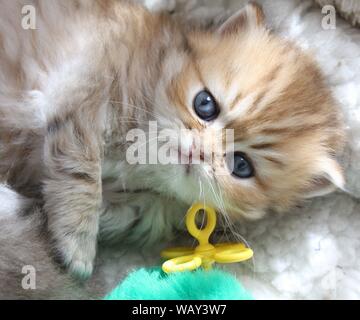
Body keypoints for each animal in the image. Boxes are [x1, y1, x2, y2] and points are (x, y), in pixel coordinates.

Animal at [0, 0, 344, 278]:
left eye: (241, 165)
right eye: (205, 104)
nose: (200, 152)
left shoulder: (156, 207)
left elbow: (136, 216)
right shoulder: (84, 89)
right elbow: (81, 173)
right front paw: (77, 244)